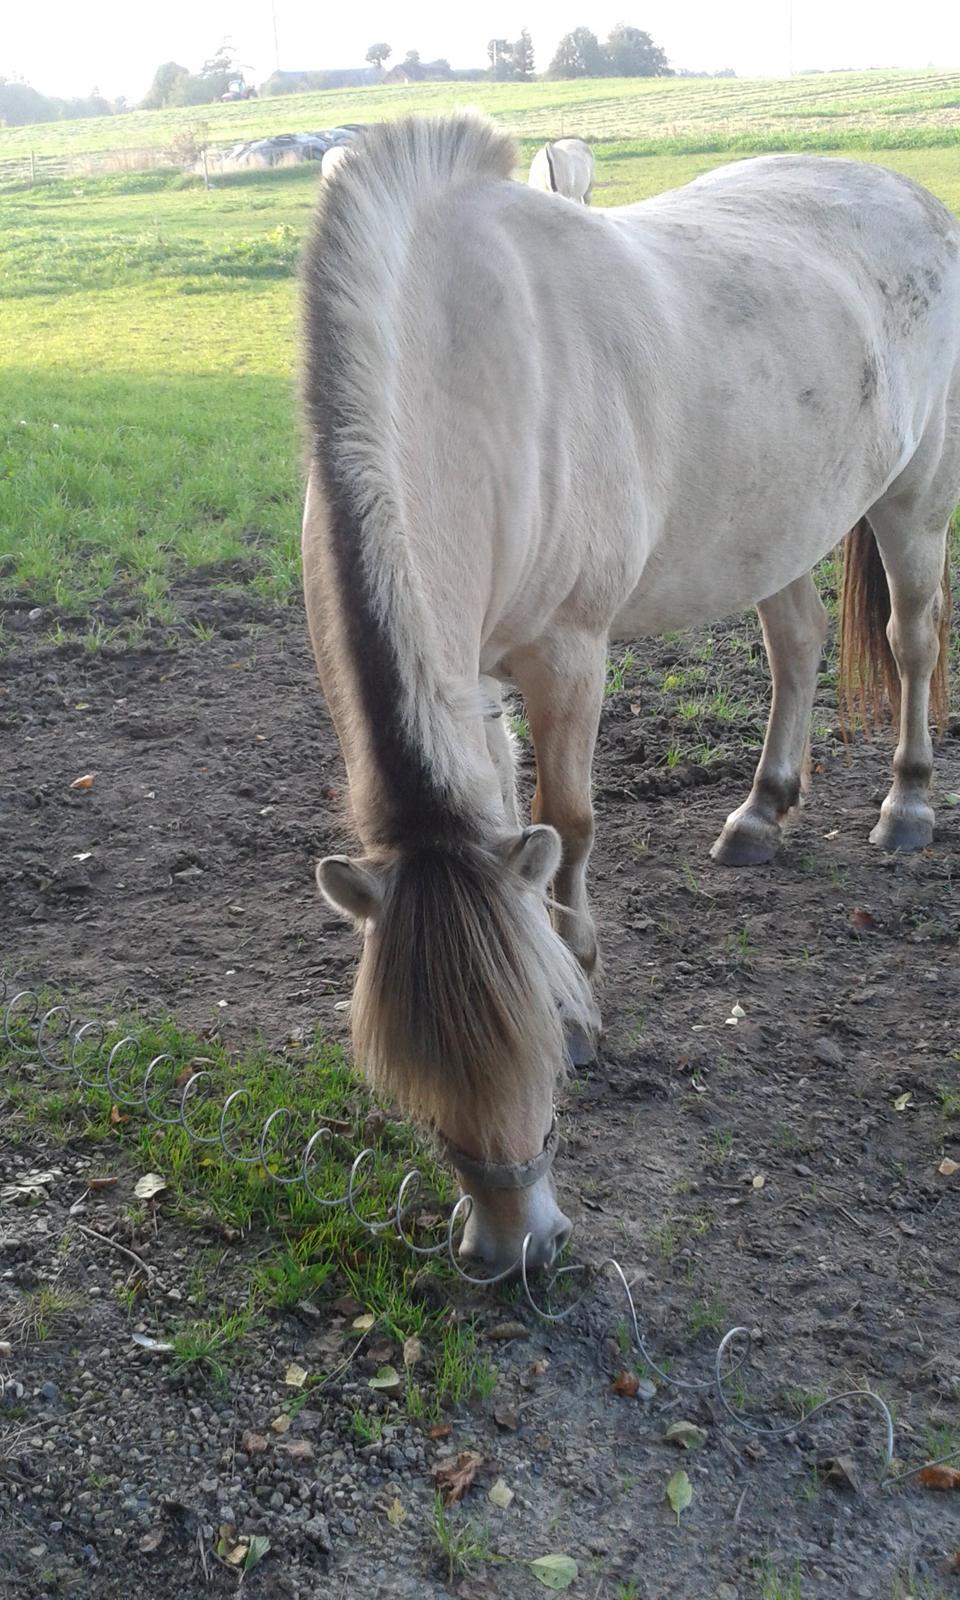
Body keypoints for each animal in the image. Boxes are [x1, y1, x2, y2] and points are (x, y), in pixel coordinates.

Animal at [305, 112, 960, 1273]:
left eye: (537, 1062)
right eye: (414, 1086)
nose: (516, 1248)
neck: (465, 377)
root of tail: (906, 192)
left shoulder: (568, 656)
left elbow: (565, 822)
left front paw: (579, 983)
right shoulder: (473, 680)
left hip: (916, 498)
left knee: (914, 641)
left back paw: (909, 803)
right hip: (776, 525)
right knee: (794, 648)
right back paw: (761, 812)